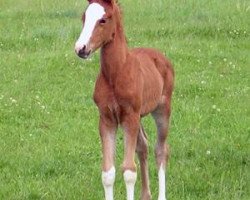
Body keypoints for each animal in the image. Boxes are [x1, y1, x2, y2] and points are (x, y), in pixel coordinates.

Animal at [74, 0, 174, 200]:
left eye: (103, 20)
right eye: (84, 17)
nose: (81, 48)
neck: (116, 74)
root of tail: (160, 56)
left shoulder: (129, 117)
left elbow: (128, 171)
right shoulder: (107, 119)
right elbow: (108, 173)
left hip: (161, 110)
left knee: (161, 150)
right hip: (139, 116)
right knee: (143, 146)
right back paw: (145, 195)